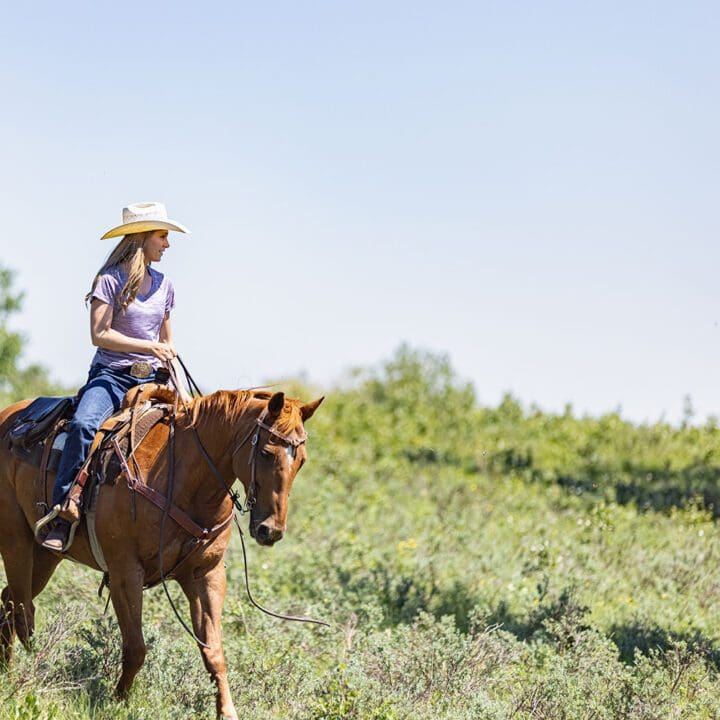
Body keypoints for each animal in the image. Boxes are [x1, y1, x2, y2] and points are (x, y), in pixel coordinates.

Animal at [0, 388, 324, 720]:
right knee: (20, 609)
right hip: (15, 540)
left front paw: (227, 711)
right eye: (266, 453)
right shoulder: (125, 573)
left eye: (301, 460)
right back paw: (14, 676)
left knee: (9, 600)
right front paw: (118, 702)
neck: (182, 478)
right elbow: (136, 648)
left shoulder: (206, 575)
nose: (270, 530)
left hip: (45, 555)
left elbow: (213, 650)